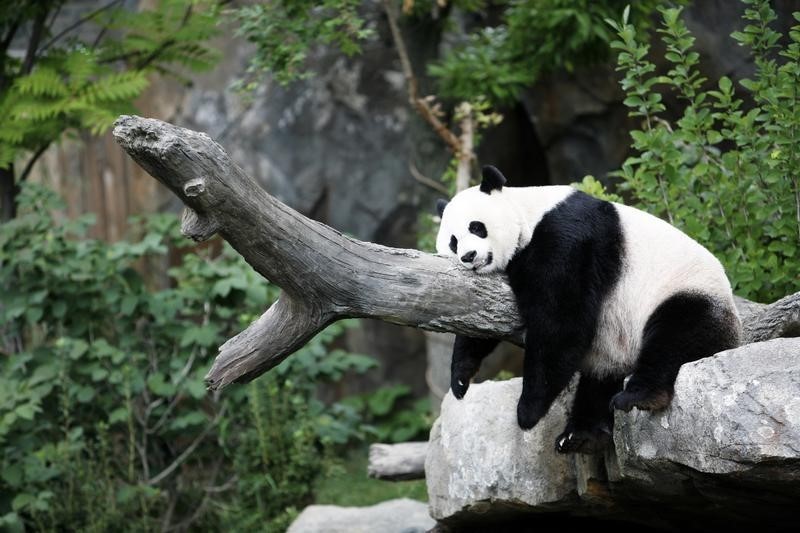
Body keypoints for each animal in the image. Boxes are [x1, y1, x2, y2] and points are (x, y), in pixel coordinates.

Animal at [434, 165, 740, 454]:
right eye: (453, 241)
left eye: (476, 227)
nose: (469, 256)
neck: (528, 214)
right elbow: (481, 317)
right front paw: (460, 378)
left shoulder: (567, 238)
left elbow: (561, 321)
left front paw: (527, 411)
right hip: (615, 347)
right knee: (600, 381)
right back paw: (581, 435)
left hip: (686, 293)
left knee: (675, 337)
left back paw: (639, 396)